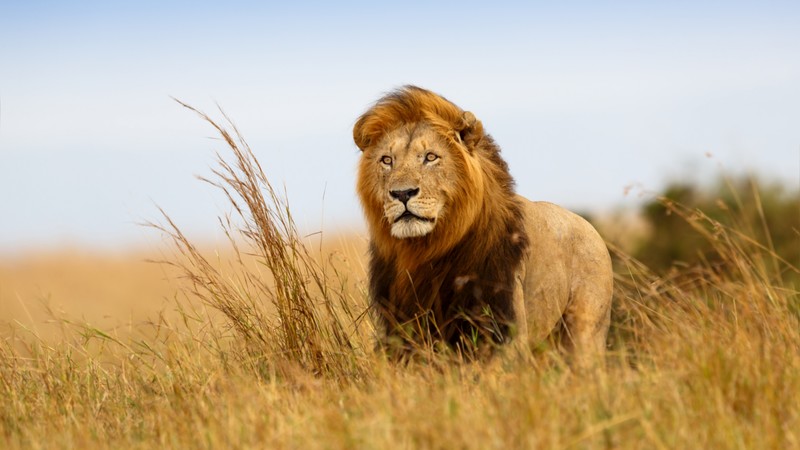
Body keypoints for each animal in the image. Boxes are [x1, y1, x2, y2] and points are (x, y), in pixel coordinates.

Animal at [353, 86, 613, 367]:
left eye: (430, 157)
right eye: (387, 160)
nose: (402, 193)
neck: (425, 250)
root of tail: (591, 228)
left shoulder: (503, 326)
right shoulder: (401, 328)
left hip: (585, 333)